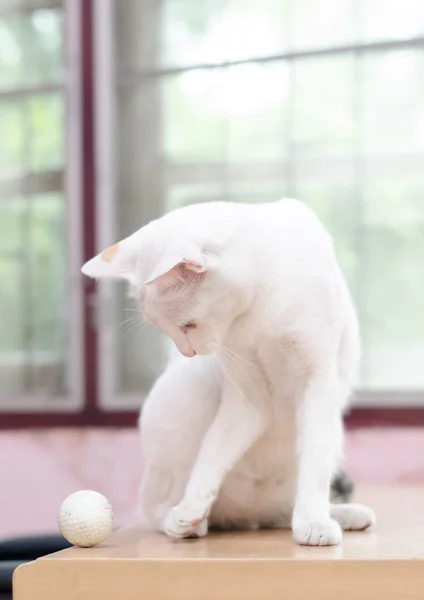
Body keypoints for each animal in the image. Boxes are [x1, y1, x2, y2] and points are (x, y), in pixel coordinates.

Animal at [82, 199, 374, 548]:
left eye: (187, 325)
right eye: (164, 329)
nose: (188, 353)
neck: (259, 308)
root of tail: (247, 517)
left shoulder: (317, 383)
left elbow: (314, 464)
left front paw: (314, 522)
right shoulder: (249, 399)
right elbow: (211, 454)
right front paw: (190, 507)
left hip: (331, 437)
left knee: (285, 507)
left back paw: (344, 514)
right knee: (155, 509)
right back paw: (187, 522)